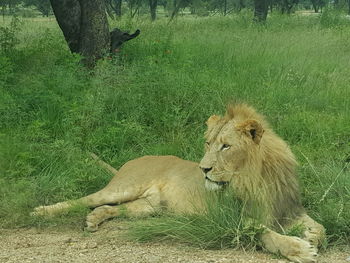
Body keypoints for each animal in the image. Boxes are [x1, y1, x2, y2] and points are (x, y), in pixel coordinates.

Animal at [32, 104, 326, 262]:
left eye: (226, 146)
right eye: (208, 143)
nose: (203, 169)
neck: (254, 178)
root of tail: (133, 160)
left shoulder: (287, 209)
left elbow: (319, 227)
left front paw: (310, 236)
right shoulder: (228, 219)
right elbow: (262, 231)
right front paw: (298, 248)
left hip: (149, 207)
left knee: (112, 208)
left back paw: (94, 219)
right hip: (122, 187)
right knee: (83, 200)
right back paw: (40, 212)